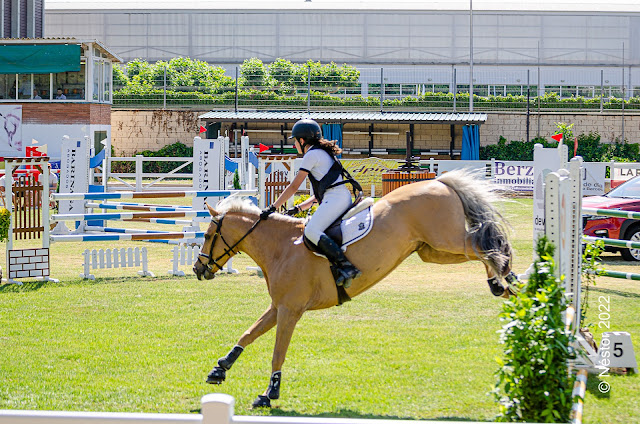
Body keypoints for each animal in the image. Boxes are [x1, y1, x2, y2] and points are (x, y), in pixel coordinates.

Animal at [192, 168, 516, 408]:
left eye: (207, 236)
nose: (197, 269)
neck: (281, 246)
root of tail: (439, 181)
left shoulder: (289, 310)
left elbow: (277, 351)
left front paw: (269, 393)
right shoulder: (278, 307)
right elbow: (248, 334)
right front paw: (219, 369)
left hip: (444, 239)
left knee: (484, 245)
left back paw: (506, 279)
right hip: (432, 250)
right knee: (480, 248)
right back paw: (504, 284)